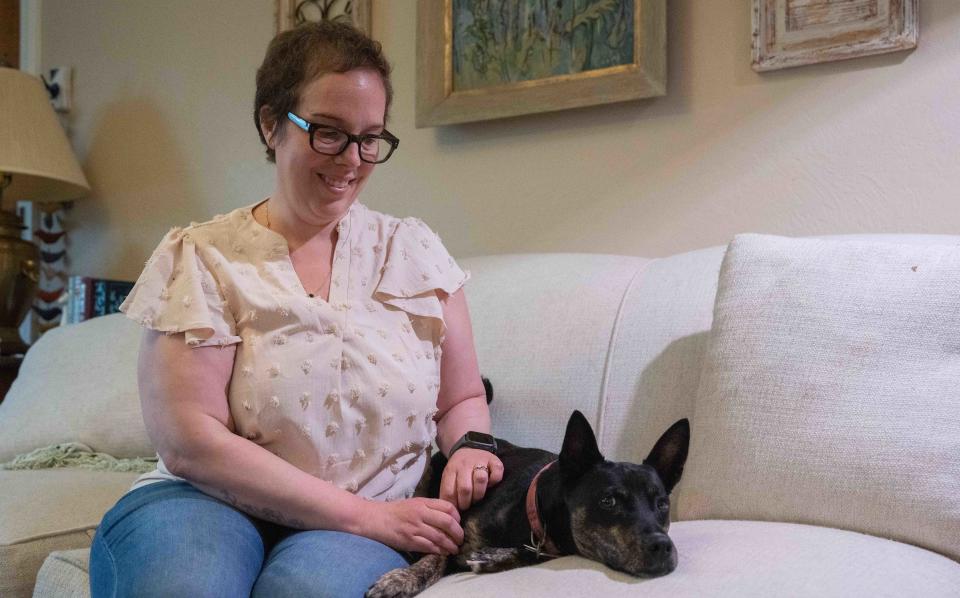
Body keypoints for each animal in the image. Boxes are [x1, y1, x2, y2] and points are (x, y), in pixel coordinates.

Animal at [368, 412, 688, 598]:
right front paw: (402, 579)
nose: (662, 546)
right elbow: (438, 555)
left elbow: (532, 555)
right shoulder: (450, 517)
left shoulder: (546, 547)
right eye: (608, 501)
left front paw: (495, 557)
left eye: (662, 504)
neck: (529, 509)